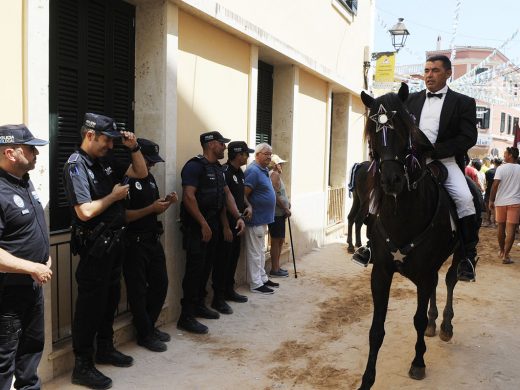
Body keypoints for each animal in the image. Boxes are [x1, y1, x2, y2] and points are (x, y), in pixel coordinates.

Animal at [358, 84, 476, 388]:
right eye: (373, 131)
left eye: (404, 127)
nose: (391, 180)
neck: (402, 213)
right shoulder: (382, 271)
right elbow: (376, 330)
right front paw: (367, 378)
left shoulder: (424, 273)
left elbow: (418, 320)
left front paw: (418, 363)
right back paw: (437, 323)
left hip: (456, 255)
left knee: (449, 281)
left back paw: (445, 324)